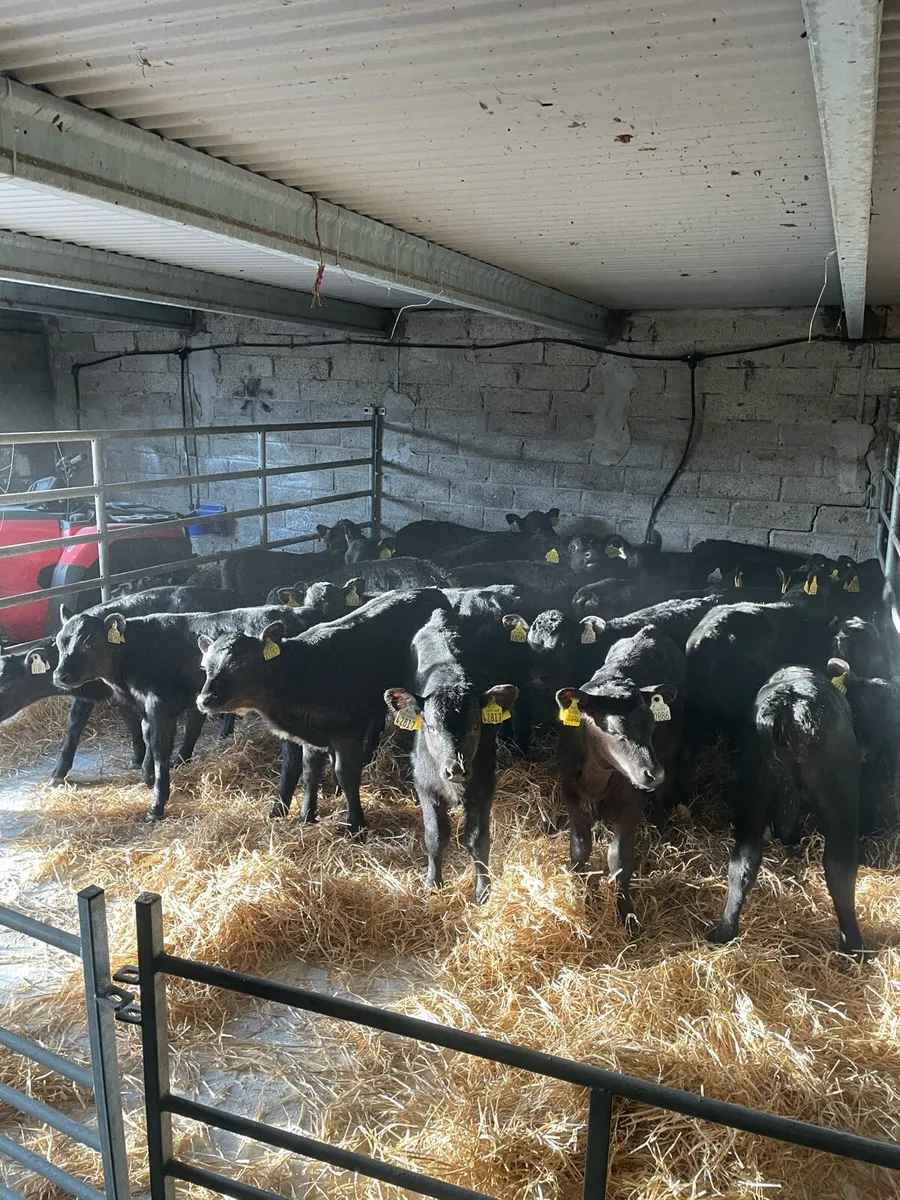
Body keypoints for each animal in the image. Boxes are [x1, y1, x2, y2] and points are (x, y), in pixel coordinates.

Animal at [195, 589, 452, 834]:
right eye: (205, 667)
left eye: (241, 664)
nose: (204, 700)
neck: (303, 672)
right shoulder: (311, 735)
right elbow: (309, 773)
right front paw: (306, 816)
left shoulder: (347, 732)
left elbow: (346, 773)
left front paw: (355, 825)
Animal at [384, 608, 518, 902]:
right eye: (431, 726)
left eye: (477, 725)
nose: (456, 769)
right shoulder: (425, 786)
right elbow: (435, 836)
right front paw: (433, 883)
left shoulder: (484, 786)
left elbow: (478, 839)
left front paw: (483, 889)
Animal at [555, 626, 685, 928]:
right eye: (614, 730)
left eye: (652, 725)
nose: (653, 772)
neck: (596, 778)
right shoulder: (572, 800)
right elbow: (579, 851)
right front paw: (579, 895)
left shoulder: (629, 806)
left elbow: (619, 860)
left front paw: (627, 914)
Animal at [708, 665, 864, 957]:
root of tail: (789, 705)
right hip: (841, 799)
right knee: (840, 866)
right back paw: (854, 944)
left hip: (753, 793)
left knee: (743, 863)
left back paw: (724, 930)